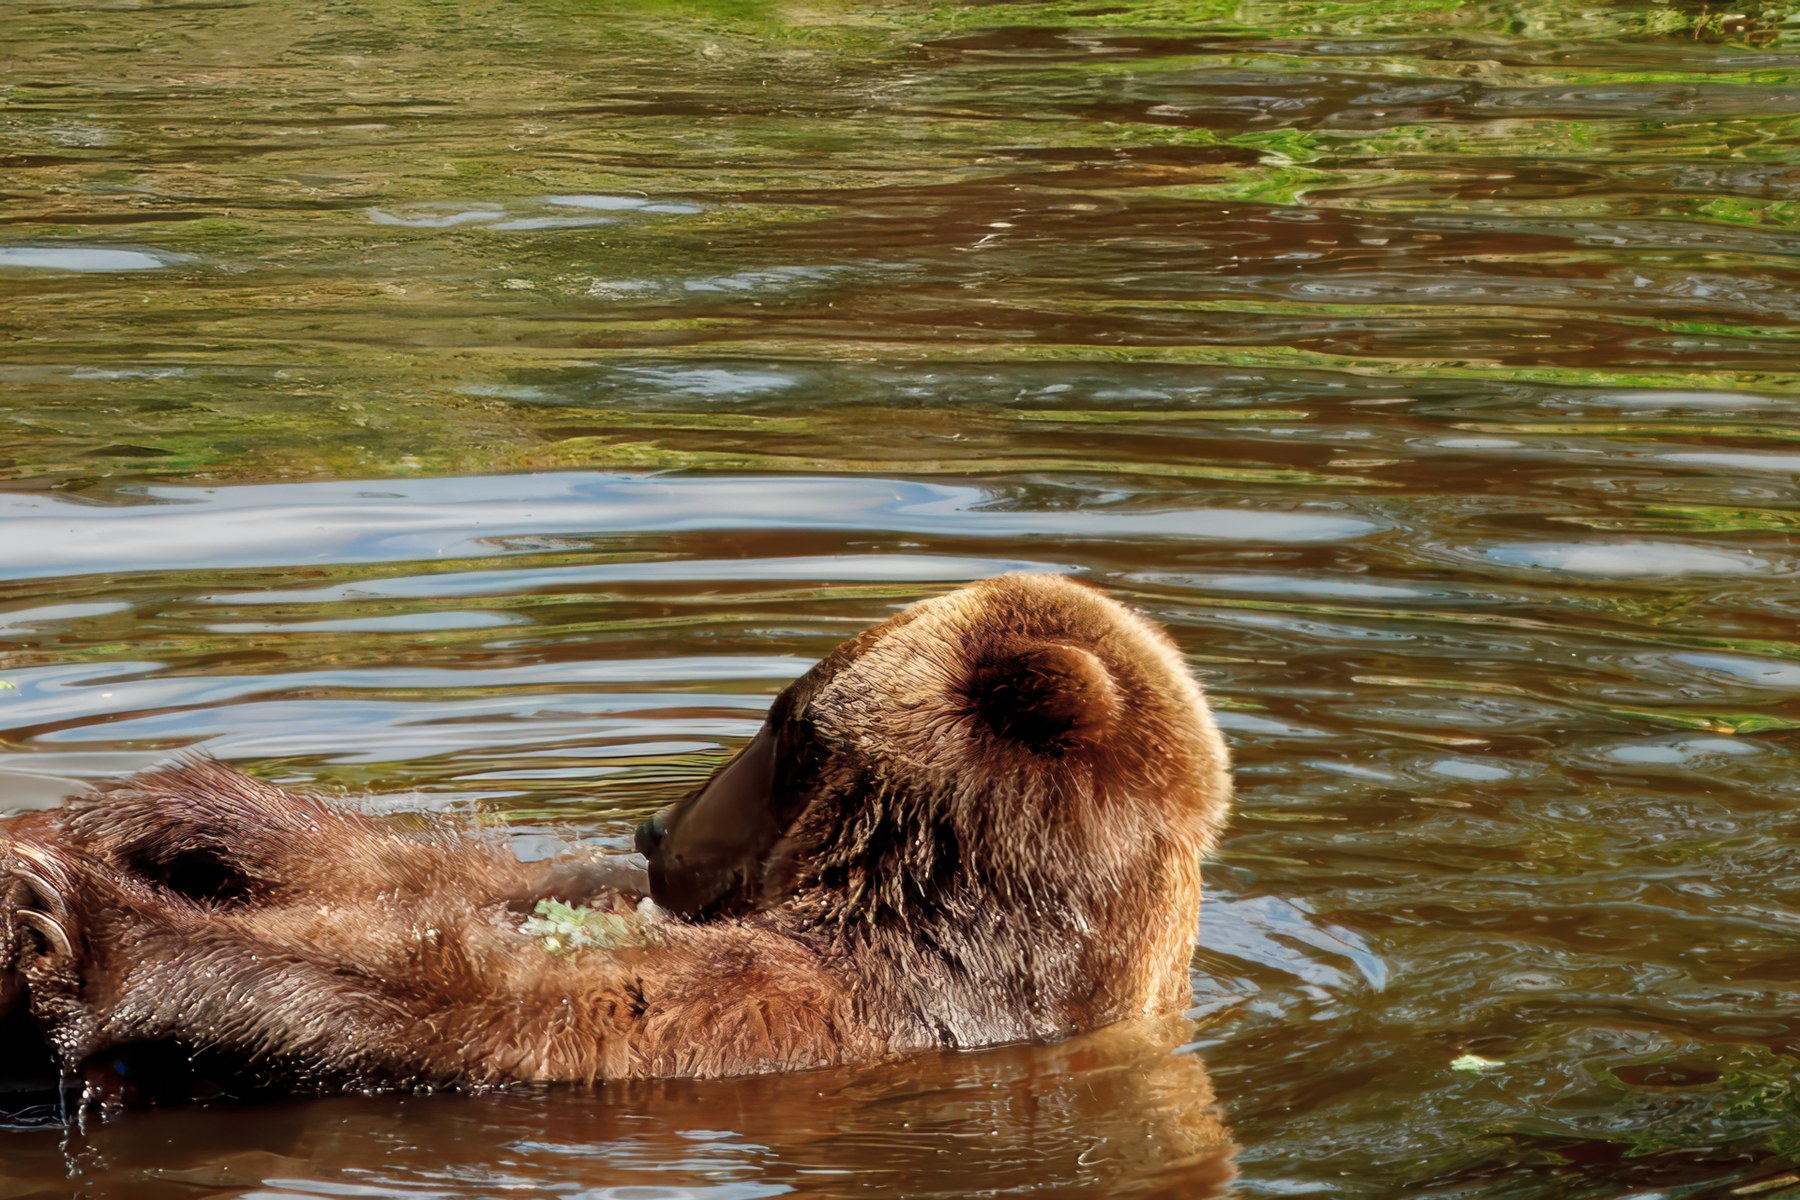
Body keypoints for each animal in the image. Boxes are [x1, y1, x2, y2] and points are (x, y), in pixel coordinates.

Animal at [0, 573, 1232, 1097]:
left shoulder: (842, 1010)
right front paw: (154, 815)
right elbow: (468, 887)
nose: (654, 825)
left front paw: (79, 929)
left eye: (783, 721)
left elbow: (523, 1013)